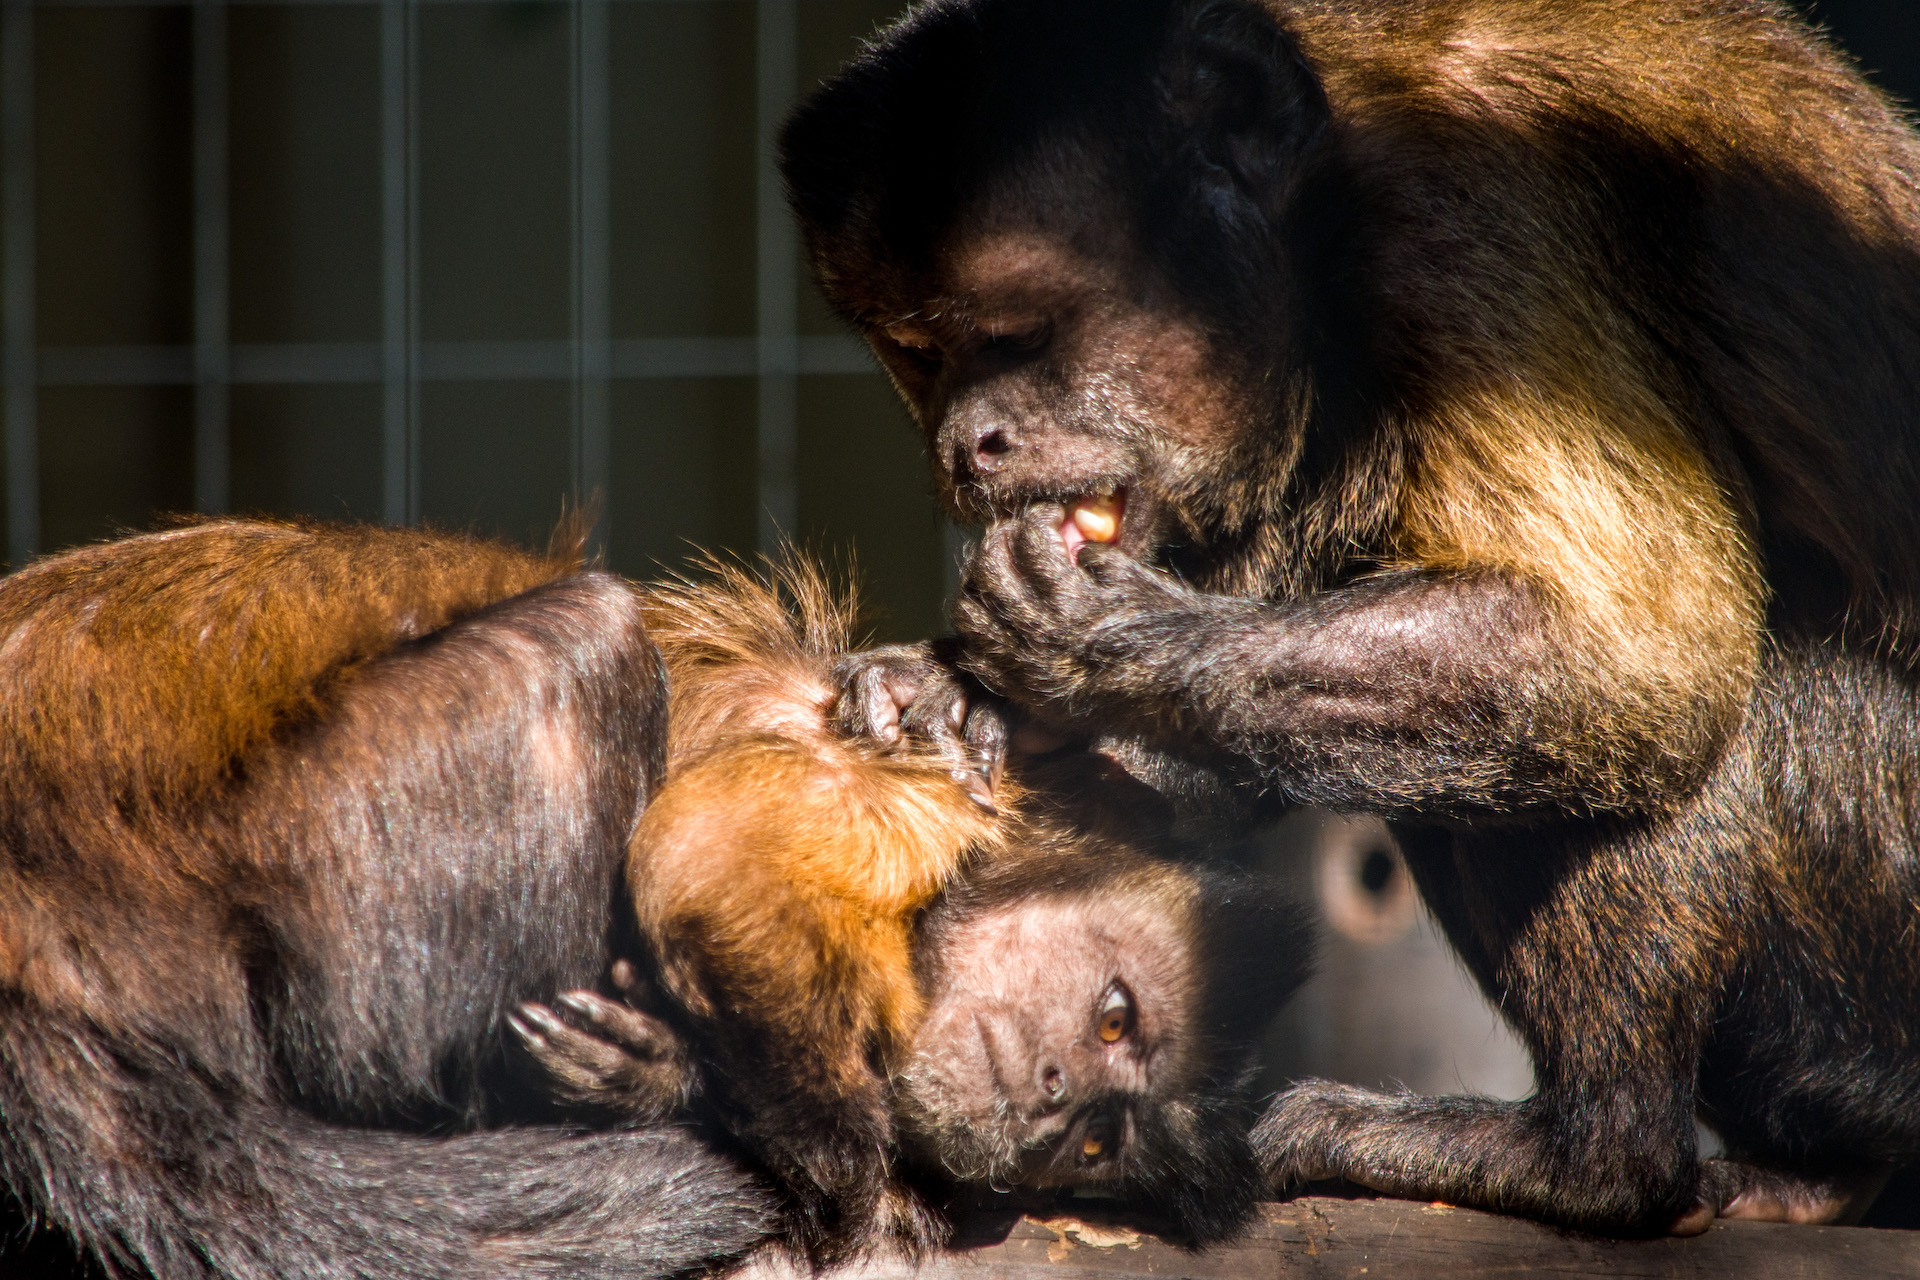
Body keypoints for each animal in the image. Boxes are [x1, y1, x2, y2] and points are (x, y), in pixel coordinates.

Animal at [783, 0, 1920, 1243]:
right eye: (921, 354)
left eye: (1019, 333)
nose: (966, 440)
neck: (1326, 220)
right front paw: (952, 695)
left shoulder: (1463, 217)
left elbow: (1634, 649)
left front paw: (1086, 642)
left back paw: (1594, 1155)